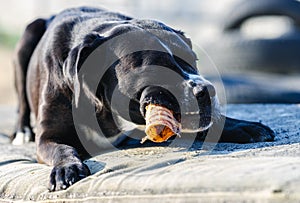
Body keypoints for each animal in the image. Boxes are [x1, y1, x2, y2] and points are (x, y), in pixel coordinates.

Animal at [11, 7, 274, 191]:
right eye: (158, 67)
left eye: (193, 59)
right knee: (22, 104)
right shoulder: (48, 138)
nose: (207, 88)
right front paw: (67, 167)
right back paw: (21, 131)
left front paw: (243, 125)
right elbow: (63, 148)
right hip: (26, 40)